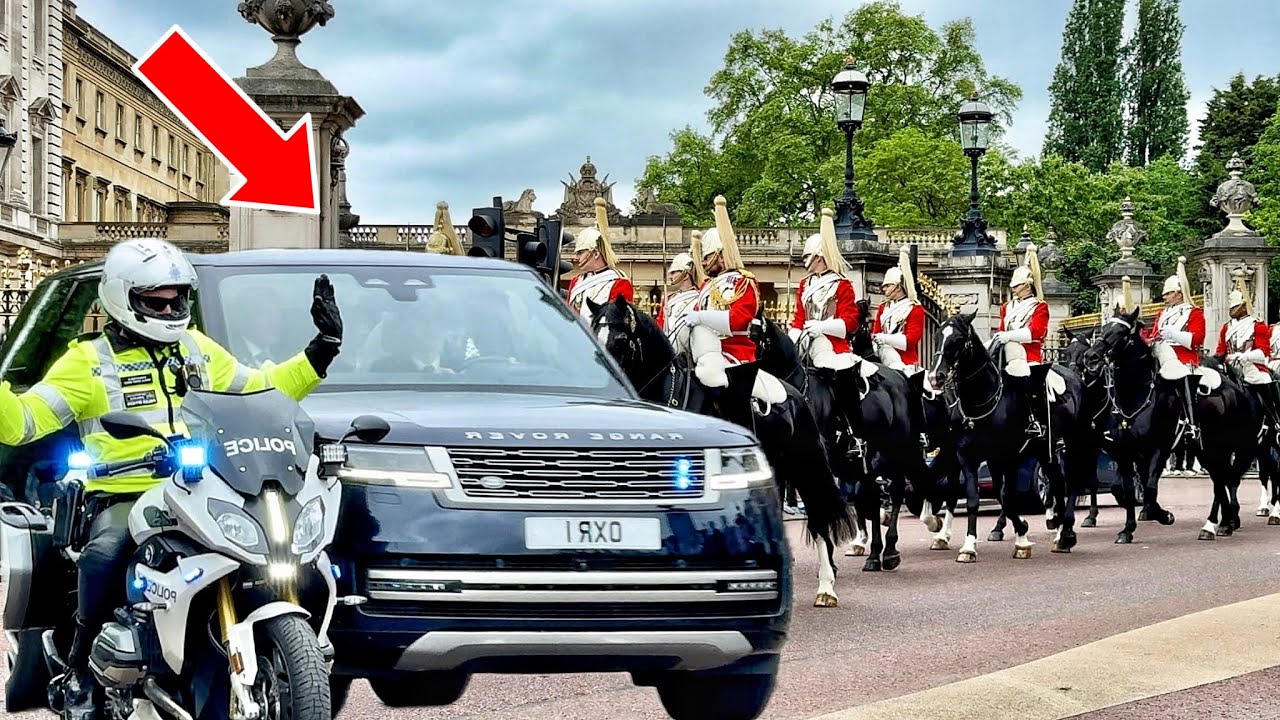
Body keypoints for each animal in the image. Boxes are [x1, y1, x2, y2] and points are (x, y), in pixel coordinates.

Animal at [926, 308, 1085, 561]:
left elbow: (1006, 496)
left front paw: (1022, 539)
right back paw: (1058, 530)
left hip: (1069, 442)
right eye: (938, 336)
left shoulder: (1007, 455)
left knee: (1069, 481)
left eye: (959, 339)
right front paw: (969, 545)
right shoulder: (969, 456)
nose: (935, 377)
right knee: (1058, 482)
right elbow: (976, 498)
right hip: (1043, 449)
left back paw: (1066, 533)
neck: (981, 400)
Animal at [1085, 304, 1254, 540]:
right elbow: (1123, 490)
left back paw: (1219, 523)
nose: (1091, 357)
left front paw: (1163, 515)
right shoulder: (1125, 451)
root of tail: (1235, 386)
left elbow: (1149, 488)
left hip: (1220, 446)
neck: (1135, 393)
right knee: (1220, 480)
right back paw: (1220, 523)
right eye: (1103, 328)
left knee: (1223, 480)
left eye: (1122, 333)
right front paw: (1128, 529)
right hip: (1204, 449)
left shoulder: (1159, 448)